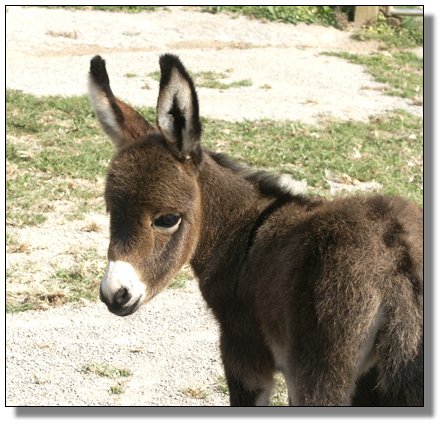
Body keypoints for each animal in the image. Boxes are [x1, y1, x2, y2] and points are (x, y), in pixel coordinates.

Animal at [88, 53, 423, 406]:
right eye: (111, 211)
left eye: (167, 219)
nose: (115, 295)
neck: (243, 235)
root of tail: (399, 261)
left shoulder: (243, 353)